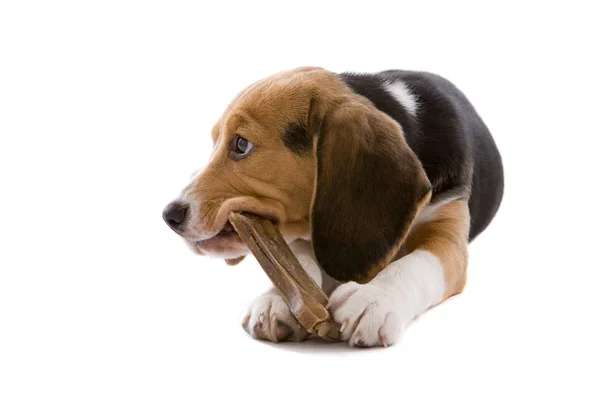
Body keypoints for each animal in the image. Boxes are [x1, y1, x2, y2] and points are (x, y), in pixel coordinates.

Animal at [162, 66, 504, 346]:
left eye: (242, 144)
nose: (170, 215)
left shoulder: (448, 232)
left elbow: (416, 263)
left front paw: (374, 298)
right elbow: (300, 257)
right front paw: (278, 300)